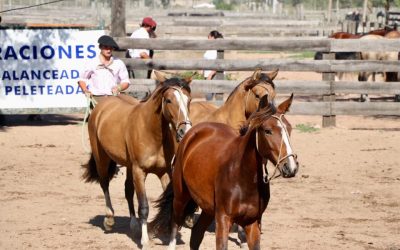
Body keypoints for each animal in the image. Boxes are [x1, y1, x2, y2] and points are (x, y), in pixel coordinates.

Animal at [81, 71, 192, 246]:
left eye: (189, 100)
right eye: (168, 100)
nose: (184, 131)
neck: (151, 132)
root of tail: (101, 107)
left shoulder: (164, 172)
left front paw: (170, 237)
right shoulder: (140, 172)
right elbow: (144, 206)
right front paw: (145, 241)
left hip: (128, 166)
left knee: (128, 190)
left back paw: (133, 224)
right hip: (102, 158)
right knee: (104, 183)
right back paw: (109, 219)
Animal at [152, 94, 298, 250]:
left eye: (289, 129)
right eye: (268, 130)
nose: (290, 167)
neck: (242, 177)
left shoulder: (253, 222)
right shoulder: (223, 219)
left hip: (208, 208)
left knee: (196, 234)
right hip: (181, 197)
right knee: (175, 223)